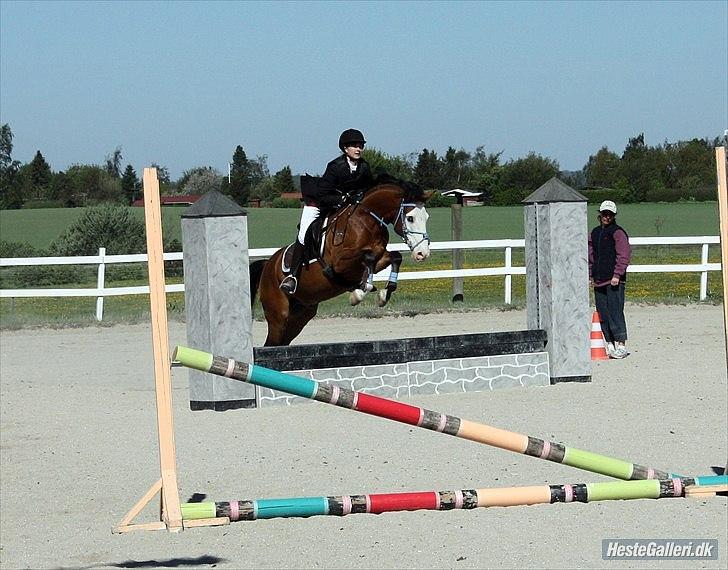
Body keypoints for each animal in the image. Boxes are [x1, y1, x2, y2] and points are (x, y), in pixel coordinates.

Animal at [250, 178, 432, 344]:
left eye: (426, 217)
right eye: (410, 218)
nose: (422, 253)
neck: (365, 220)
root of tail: (267, 264)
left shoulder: (378, 257)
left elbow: (394, 256)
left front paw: (383, 293)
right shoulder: (339, 263)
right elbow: (369, 257)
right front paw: (359, 292)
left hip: (300, 316)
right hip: (278, 316)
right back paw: (290, 282)